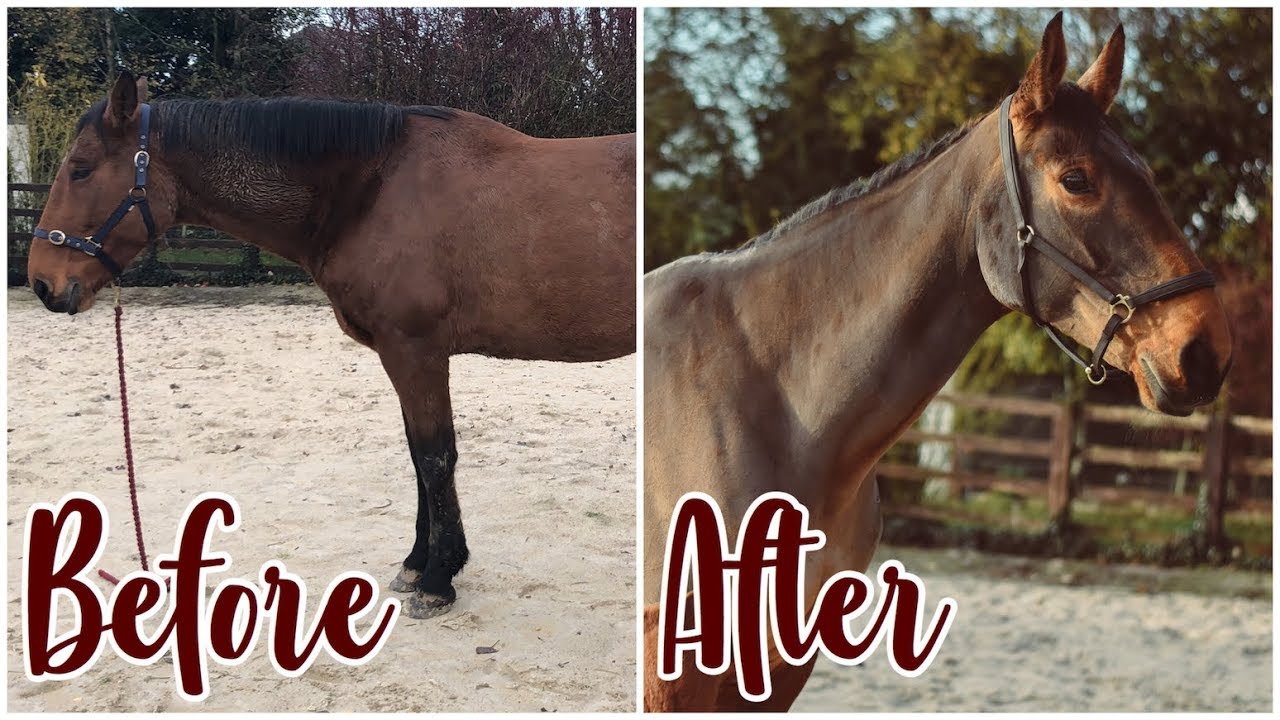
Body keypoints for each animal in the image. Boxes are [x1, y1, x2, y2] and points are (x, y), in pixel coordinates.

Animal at [25, 71, 636, 619]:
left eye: (80, 169)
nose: (42, 283)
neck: (373, 188)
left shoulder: (415, 352)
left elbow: (435, 457)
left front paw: (438, 580)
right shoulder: (404, 356)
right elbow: (417, 456)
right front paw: (419, 563)